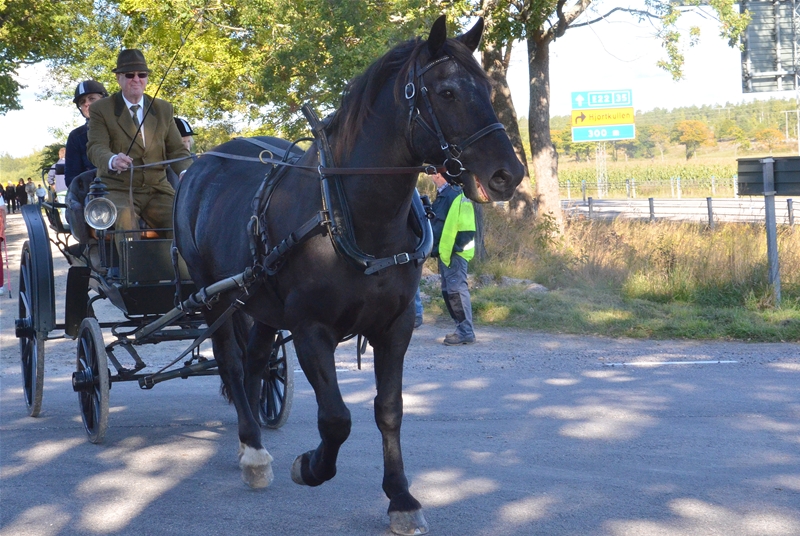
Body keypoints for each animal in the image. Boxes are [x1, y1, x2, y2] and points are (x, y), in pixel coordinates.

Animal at [173, 15, 524, 535]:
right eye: (447, 92)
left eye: (485, 87)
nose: (509, 174)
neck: (350, 216)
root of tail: (201, 165)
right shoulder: (310, 329)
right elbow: (336, 419)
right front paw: (311, 466)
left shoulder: (395, 327)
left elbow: (389, 410)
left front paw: (401, 497)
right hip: (214, 297)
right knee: (232, 364)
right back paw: (253, 449)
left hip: (259, 300)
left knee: (256, 361)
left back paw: (249, 441)